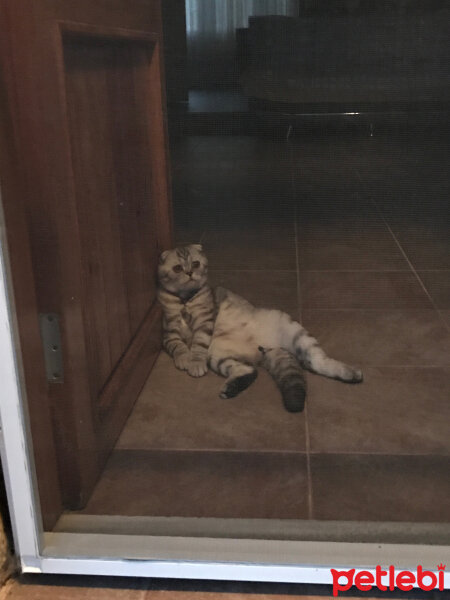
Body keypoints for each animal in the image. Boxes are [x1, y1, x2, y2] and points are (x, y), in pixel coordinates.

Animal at [157, 244, 362, 412]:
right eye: (177, 268)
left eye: (196, 263)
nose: (190, 273)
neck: (185, 299)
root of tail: (266, 348)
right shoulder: (169, 334)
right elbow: (179, 347)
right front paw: (185, 359)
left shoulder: (204, 325)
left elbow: (197, 346)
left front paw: (194, 363)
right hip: (218, 356)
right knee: (249, 371)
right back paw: (230, 389)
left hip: (296, 331)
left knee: (316, 361)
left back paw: (352, 374)